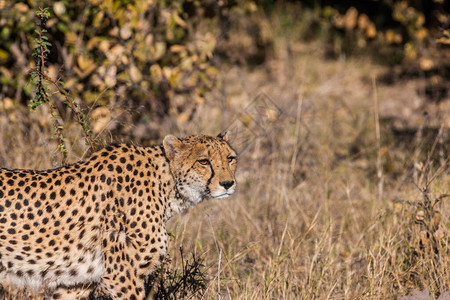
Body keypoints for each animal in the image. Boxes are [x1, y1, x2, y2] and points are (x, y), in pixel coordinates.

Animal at [0, 134, 237, 300]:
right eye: (204, 161)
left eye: (230, 158)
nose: (228, 183)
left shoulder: (76, 283)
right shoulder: (123, 277)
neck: (167, 185)